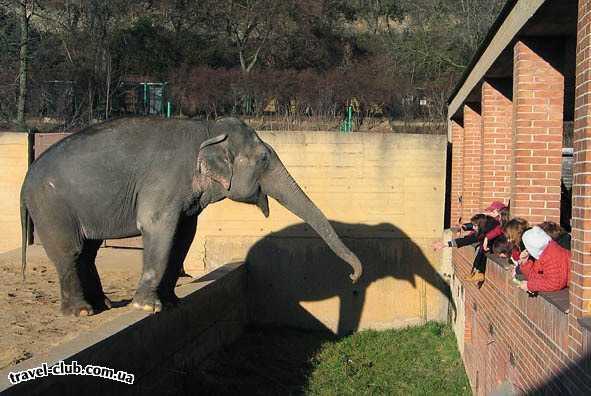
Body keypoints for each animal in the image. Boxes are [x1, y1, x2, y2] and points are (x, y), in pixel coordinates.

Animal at [20, 116, 364, 318]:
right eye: (265, 159)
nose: (353, 277)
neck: (208, 129)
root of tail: (26, 180)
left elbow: (184, 234)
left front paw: (172, 302)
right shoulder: (164, 179)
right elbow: (158, 226)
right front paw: (148, 307)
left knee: (88, 251)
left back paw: (101, 305)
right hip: (51, 205)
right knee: (71, 250)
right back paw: (81, 312)